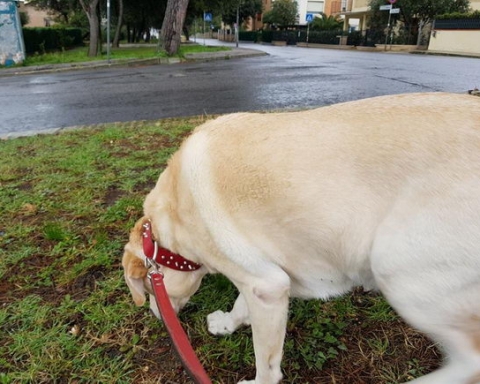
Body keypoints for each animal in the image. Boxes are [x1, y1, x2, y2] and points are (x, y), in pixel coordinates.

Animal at [123, 93, 480, 384]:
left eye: (150, 289)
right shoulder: (265, 280)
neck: (171, 220)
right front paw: (226, 323)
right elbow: (241, 305)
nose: (155, 315)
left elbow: (266, 367)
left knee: (470, 364)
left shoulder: (264, 286)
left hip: (397, 269)